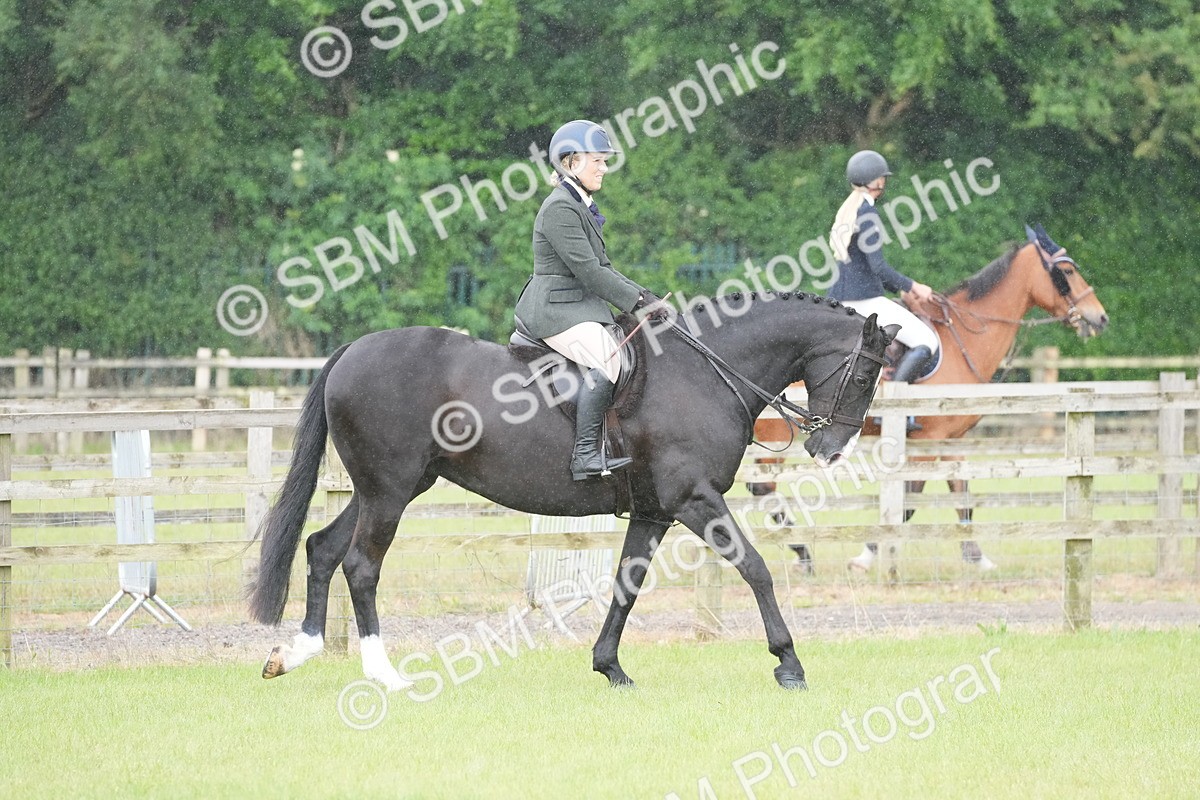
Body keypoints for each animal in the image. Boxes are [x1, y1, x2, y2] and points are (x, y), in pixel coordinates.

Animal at [248, 293, 898, 691]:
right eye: (867, 373)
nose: (830, 448)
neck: (706, 374)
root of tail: (353, 350)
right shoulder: (695, 500)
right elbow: (756, 568)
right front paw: (789, 664)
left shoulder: (655, 513)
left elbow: (626, 587)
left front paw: (610, 668)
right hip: (388, 492)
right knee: (360, 565)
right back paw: (385, 675)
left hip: (385, 488)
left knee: (322, 549)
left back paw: (296, 653)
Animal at [751, 225, 1109, 574]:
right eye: (1067, 271)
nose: (1100, 317)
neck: (961, 341)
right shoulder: (928, 442)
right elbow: (909, 502)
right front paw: (868, 555)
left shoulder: (950, 441)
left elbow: (961, 495)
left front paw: (976, 556)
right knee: (764, 488)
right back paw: (802, 552)